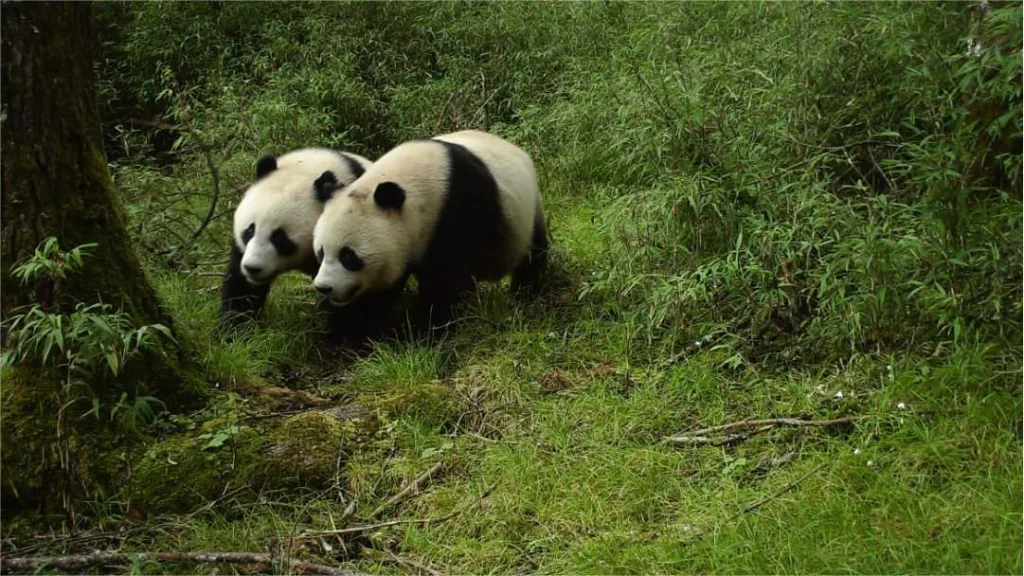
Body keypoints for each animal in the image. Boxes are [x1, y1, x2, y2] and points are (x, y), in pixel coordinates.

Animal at [311, 130, 548, 334]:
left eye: (348, 256)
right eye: (321, 252)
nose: (323, 287)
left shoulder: (457, 211)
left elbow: (445, 283)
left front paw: (426, 331)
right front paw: (348, 328)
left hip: (525, 214)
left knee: (532, 254)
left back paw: (524, 294)